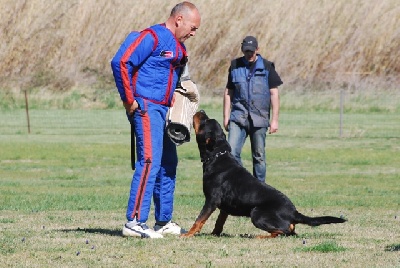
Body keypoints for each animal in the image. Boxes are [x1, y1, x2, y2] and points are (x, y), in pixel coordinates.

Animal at [182, 110, 346, 238]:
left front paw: (188, 234)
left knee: (284, 231)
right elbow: (219, 222)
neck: (217, 156)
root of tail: (294, 212)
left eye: (204, 122)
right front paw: (214, 234)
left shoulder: (211, 200)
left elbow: (199, 219)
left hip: (256, 213)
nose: (201, 110)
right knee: (291, 231)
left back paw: (258, 236)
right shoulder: (224, 206)